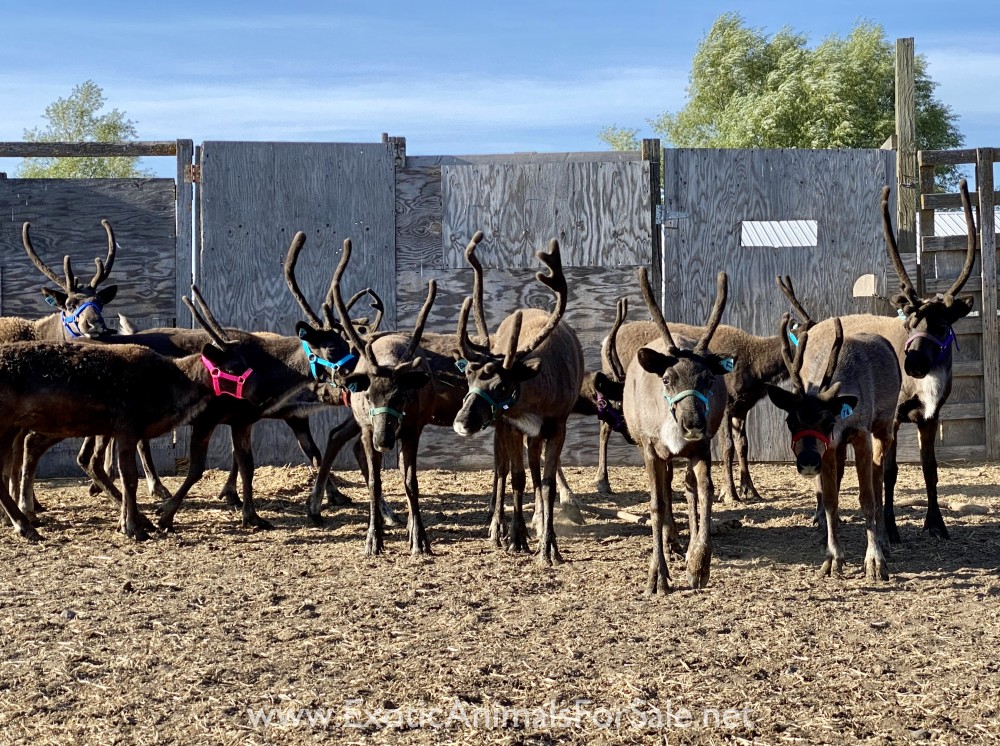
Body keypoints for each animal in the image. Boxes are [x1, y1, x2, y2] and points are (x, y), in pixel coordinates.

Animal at [0, 292, 261, 543]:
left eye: (244, 361)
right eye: (234, 366)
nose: (260, 392)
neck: (172, 381)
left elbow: (127, 479)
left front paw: (127, 523)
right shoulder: (127, 429)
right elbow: (130, 479)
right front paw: (132, 527)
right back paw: (25, 525)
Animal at [452, 239, 585, 565]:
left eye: (501, 386)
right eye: (469, 377)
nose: (461, 422)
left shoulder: (557, 425)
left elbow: (546, 483)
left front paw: (549, 546)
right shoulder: (509, 425)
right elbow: (516, 477)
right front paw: (516, 538)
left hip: (532, 433)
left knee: (535, 468)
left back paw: (536, 519)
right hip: (501, 428)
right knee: (501, 469)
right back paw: (497, 527)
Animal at [766, 315, 901, 581]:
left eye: (828, 421)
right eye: (791, 421)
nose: (808, 461)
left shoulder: (861, 435)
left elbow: (867, 498)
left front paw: (874, 561)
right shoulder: (828, 449)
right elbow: (830, 500)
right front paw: (833, 558)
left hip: (884, 427)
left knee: (879, 482)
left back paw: (884, 542)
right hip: (837, 450)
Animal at [778, 180, 978, 542]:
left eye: (943, 324)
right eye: (910, 322)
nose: (914, 364)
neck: (923, 386)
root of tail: (812, 326)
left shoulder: (931, 416)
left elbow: (930, 468)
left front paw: (936, 523)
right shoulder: (894, 416)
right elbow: (889, 471)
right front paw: (891, 528)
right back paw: (820, 514)